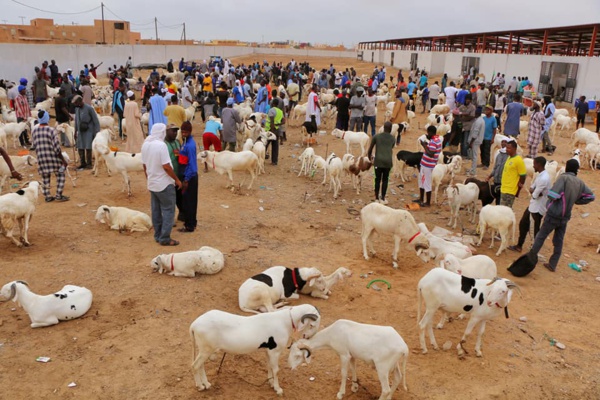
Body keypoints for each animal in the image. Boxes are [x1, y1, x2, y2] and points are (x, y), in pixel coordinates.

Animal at [190, 306, 322, 394]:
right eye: (311, 325)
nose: (309, 337)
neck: (286, 321)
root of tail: (194, 325)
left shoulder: (268, 351)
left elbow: (269, 366)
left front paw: (271, 383)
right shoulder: (275, 351)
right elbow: (276, 370)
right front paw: (278, 389)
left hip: (204, 349)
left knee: (200, 365)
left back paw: (206, 384)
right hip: (206, 349)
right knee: (195, 366)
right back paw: (200, 387)